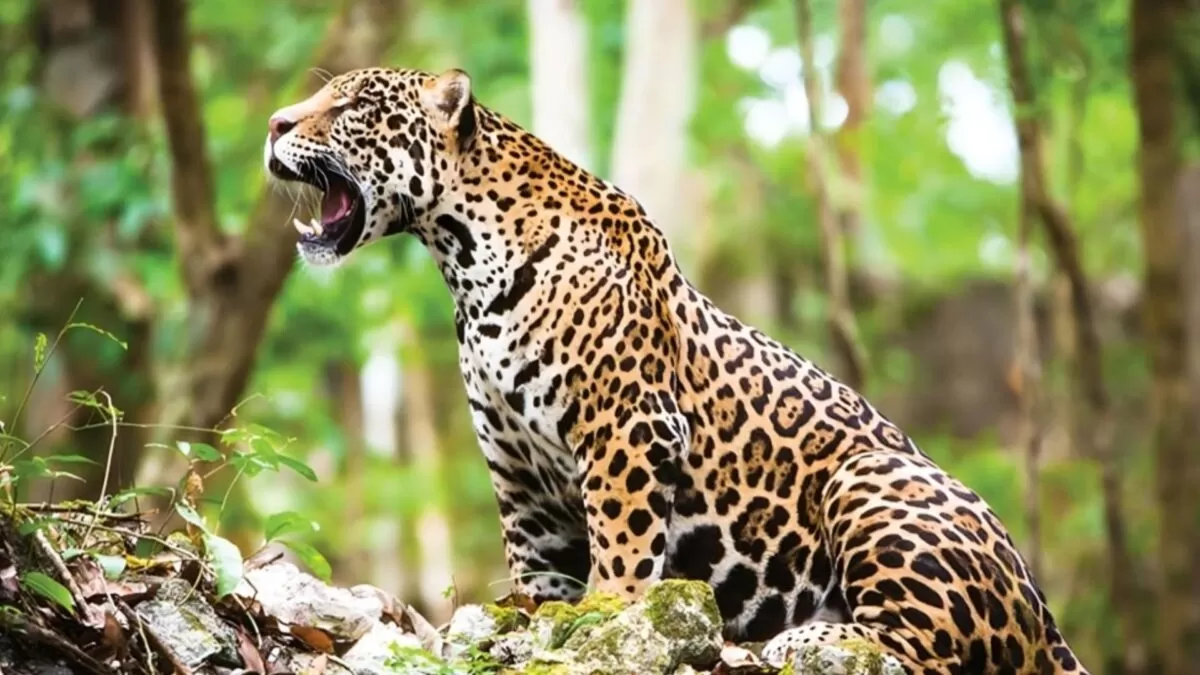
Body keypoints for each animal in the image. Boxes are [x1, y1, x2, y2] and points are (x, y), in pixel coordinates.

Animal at [263, 66, 1089, 674]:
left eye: (352, 104)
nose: (274, 124)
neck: (463, 261)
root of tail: (1046, 614)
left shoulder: (626, 427)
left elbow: (622, 550)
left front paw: (607, 619)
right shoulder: (517, 470)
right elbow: (534, 568)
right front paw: (534, 623)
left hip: (873, 481)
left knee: (923, 654)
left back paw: (798, 639)